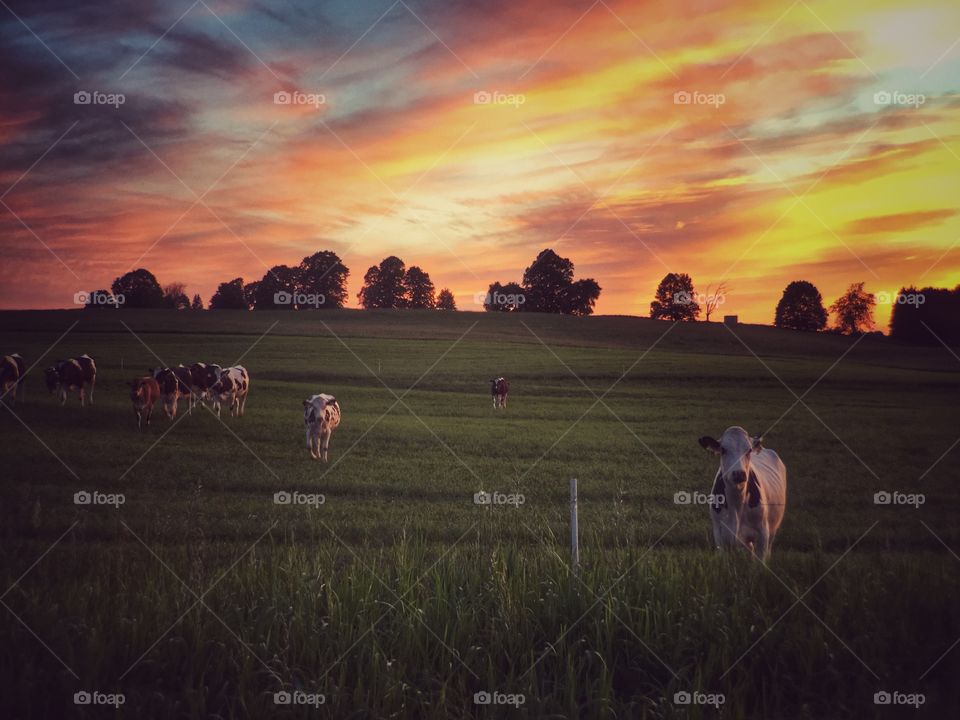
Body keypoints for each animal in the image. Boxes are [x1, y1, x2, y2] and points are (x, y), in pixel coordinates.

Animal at [696, 428, 788, 564]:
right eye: (723, 449)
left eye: (748, 450)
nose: (738, 473)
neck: (736, 504)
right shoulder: (720, 536)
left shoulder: (763, 535)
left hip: (772, 530)